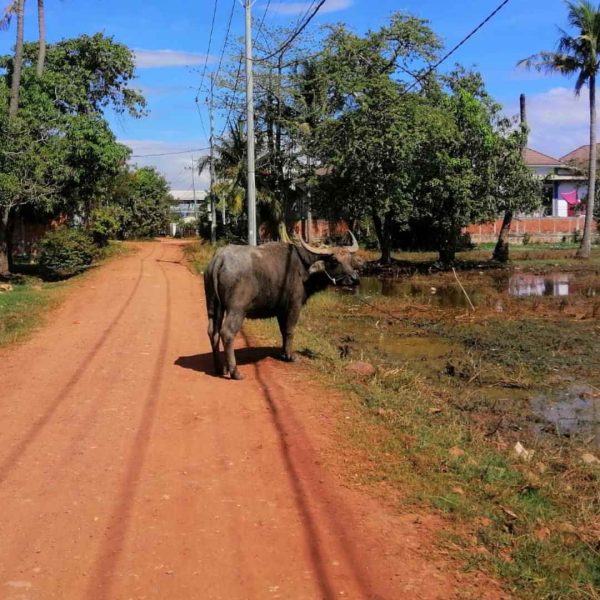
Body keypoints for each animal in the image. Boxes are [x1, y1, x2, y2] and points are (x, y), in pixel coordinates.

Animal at [204, 234, 358, 380]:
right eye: (335, 261)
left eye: (350, 260)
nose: (355, 278)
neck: (304, 269)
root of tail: (220, 258)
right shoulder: (294, 305)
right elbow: (290, 330)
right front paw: (291, 356)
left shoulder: (281, 310)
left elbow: (283, 330)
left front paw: (284, 354)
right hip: (237, 310)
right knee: (227, 332)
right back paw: (235, 372)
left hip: (213, 307)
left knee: (213, 332)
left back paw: (220, 368)